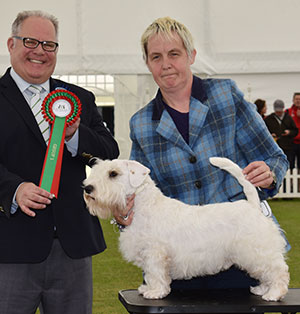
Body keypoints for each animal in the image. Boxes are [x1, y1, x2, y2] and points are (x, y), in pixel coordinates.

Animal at [83, 158, 290, 300]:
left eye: (113, 174)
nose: (88, 188)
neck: (145, 206)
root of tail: (253, 206)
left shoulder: (155, 254)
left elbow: (155, 274)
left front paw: (155, 292)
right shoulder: (148, 254)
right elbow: (150, 275)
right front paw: (147, 289)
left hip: (257, 251)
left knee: (278, 270)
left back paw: (273, 294)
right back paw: (262, 289)